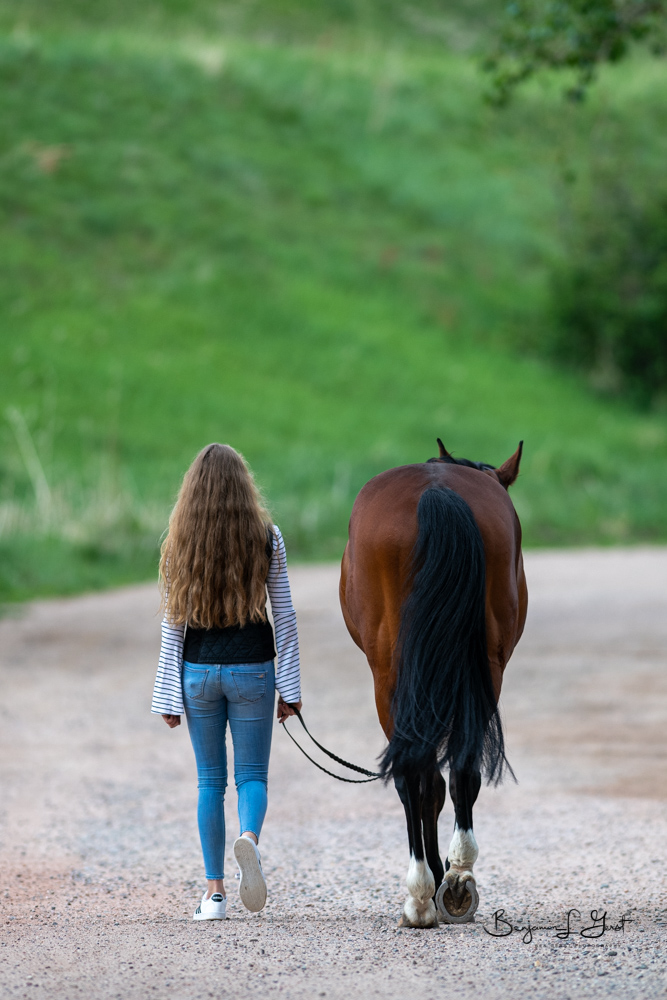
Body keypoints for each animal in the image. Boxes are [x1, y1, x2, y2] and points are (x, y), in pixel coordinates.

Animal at [339, 438, 527, 928]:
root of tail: (436, 492)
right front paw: (450, 876)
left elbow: (427, 787)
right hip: (483, 671)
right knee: (462, 767)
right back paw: (459, 879)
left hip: (388, 675)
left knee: (412, 777)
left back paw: (422, 894)